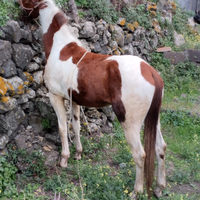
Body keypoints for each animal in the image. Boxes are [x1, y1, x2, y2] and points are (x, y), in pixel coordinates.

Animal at [19, 0, 167, 198]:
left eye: (27, 2)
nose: (21, 15)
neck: (60, 47)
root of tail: (151, 72)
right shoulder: (74, 101)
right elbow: (76, 126)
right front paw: (78, 154)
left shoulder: (55, 97)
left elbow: (62, 128)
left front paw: (64, 159)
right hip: (154, 118)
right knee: (160, 148)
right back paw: (159, 187)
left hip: (130, 123)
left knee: (139, 154)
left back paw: (135, 192)